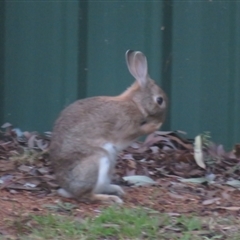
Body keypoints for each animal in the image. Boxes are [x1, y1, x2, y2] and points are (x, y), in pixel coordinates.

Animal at [49, 49, 168, 203]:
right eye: (159, 100)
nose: (163, 119)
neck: (135, 103)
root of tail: (68, 189)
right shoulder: (126, 127)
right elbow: (137, 130)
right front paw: (155, 125)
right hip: (98, 160)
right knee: (86, 195)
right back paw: (111, 199)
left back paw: (117, 190)